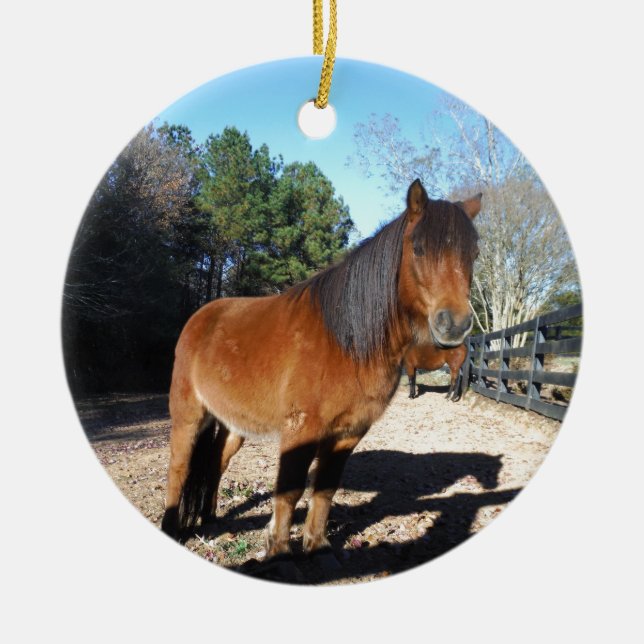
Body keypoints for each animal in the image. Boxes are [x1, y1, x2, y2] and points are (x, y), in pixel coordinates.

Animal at [161, 179, 481, 563]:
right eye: (418, 249)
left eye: (474, 254)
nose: (455, 325)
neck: (347, 341)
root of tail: (199, 318)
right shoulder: (301, 430)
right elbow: (289, 491)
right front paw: (279, 552)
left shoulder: (348, 433)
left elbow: (325, 489)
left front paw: (317, 546)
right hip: (189, 416)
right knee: (179, 469)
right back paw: (171, 529)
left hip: (233, 425)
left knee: (215, 465)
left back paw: (209, 517)